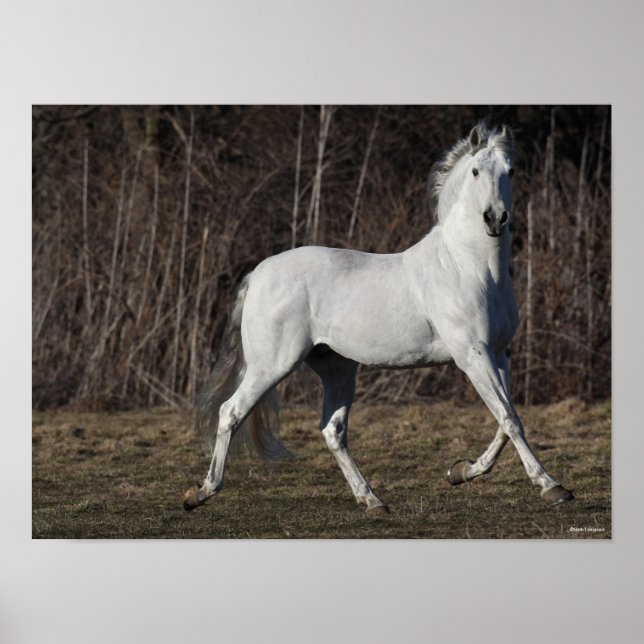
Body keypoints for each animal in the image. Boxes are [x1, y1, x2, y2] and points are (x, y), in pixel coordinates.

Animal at [182, 122, 574, 515]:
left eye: (511, 170)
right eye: (476, 171)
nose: (495, 219)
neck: (469, 268)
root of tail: (257, 274)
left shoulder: (499, 354)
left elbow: (506, 421)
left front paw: (460, 471)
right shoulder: (472, 355)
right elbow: (509, 419)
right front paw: (552, 487)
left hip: (336, 367)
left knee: (333, 431)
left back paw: (372, 501)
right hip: (272, 365)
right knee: (231, 412)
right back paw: (200, 493)